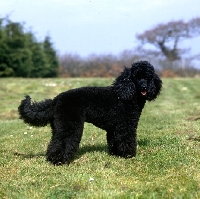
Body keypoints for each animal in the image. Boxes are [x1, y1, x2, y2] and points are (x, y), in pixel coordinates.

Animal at [18, 60, 162, 165]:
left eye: (148, 77)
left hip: (58, 126)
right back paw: (59, 161)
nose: (144, 87)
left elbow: (114, 141)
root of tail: (56, 99)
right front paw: (128, 155)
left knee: (55, 142)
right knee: (63, 141)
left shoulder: (114, 129)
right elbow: (126, 140)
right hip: (70, 124)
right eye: (136, 77)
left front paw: (116, 154)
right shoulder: (125, 126)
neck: (126, 94)